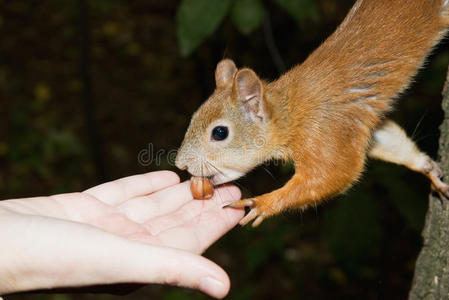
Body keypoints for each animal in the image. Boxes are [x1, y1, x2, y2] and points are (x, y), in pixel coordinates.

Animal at [173, 0, 448, 226]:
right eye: (193, 118)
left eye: (220, 132)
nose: (180, 164)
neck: (292, 112)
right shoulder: (357, 127)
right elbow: (387, 139)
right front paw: (428, 169)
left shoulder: (324, 131)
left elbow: (335, 174)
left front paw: (262, 203)